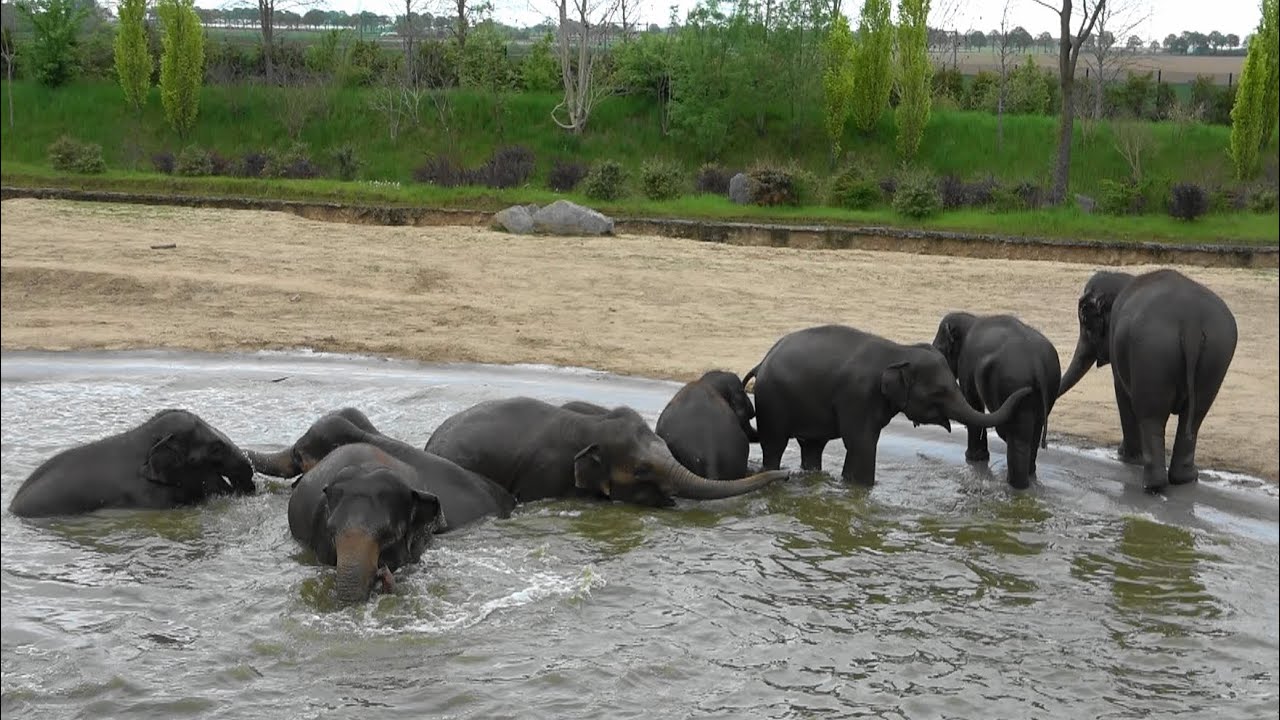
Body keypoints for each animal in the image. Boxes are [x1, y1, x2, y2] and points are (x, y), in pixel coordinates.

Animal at [744, 324, 1033, 486]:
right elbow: (861, 443)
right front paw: (860, 489)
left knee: (813, 447)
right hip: (772, 403)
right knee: (774, 445)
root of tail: (762, 361)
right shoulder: (858, 396)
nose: (1028, 390)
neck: (899, 351)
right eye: (939, 392)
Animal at [932, 312, 1062, 489]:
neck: (971, 319)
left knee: (1015, 435)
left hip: (1013, 383)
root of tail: (1037, 363)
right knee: (1033, 432)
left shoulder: (966, 365)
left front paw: (973, 458)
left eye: (939, 349)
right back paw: (1027, 476)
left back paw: (1015, 485)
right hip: (1048, 384)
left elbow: (973, 403)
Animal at [1058, 269, 1237, 491]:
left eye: (1086, 322)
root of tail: (1191, 323)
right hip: (1215, 353)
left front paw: (1125, 456)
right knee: (1194, 416)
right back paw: (1186, 478)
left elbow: (1121, 392)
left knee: (1152, 416)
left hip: (1152, 350)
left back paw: (1152, 484)